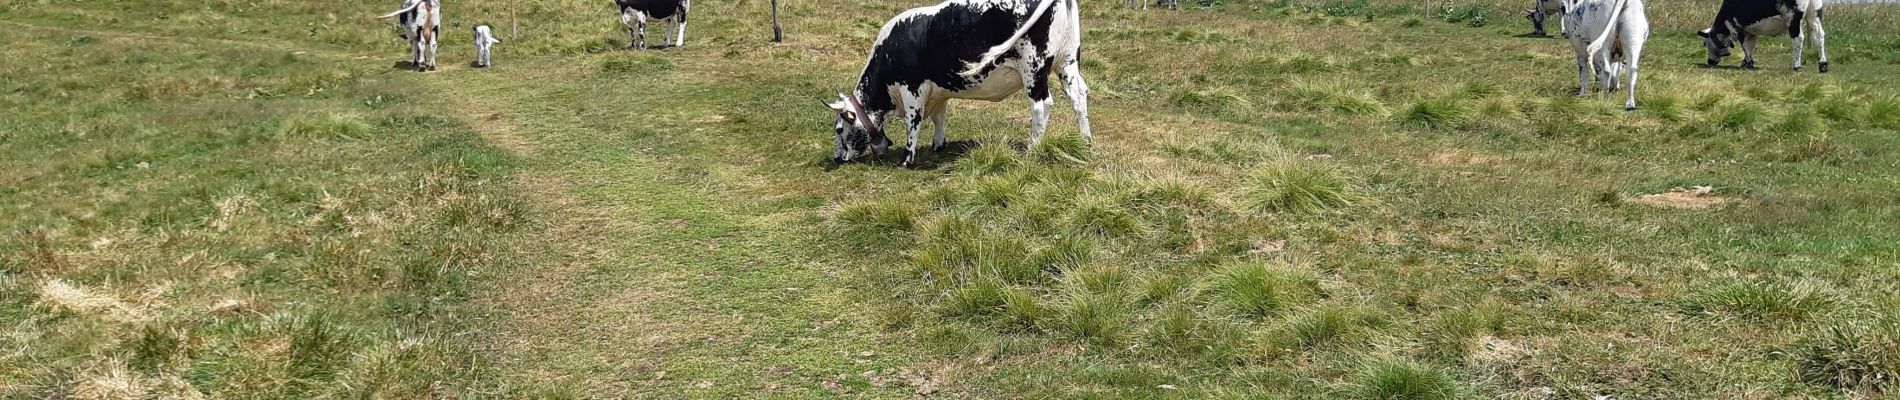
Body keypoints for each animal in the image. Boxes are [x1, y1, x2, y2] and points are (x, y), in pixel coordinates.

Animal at [824, 0, 1094, 166]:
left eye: (839, 129)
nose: (836, 158)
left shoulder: (912, 89)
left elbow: (913, 123)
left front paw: (907, 159)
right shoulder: (938, 91)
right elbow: (939, 117)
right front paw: (939, 143)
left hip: (1033, 68)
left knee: (1041, 105)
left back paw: (1033, 149)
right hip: (1067, 61)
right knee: (1078, 96)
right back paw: (1086, 141)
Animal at [1702, 0, 1831, 72]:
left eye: (1705, 43)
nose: (1709, 61)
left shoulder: (1736, 28)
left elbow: (1745, 46)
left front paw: (1749, 63)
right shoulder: (1751, 32)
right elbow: (1750, 45)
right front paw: (1745, 62)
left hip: (1793, 18)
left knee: (1798, 38)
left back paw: (1796, 65)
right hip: (1815, 15)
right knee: (1820, 36)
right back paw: (1823, 64)